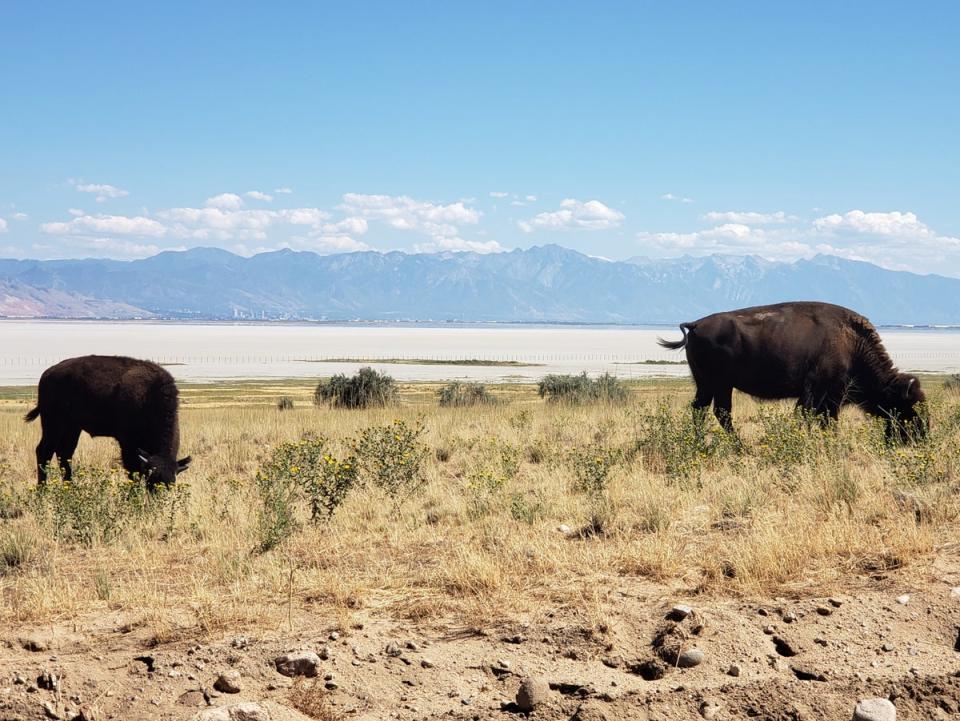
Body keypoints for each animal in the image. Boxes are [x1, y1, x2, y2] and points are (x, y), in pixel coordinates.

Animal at [25, 354, 191, 490]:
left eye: (172, 483)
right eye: (152, 477)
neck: (149, 396)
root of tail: (47, 374)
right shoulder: (127, 443)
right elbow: (133, 470)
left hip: (72, 428)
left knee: (65, 454)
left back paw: (69, 487)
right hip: (53, 425)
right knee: (44, 451)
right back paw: (42, 490)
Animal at [656, 300, 928, 442]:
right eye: (907, 408)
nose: (921, 437)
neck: (851, 342)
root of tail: (695, 325)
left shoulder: (822, 399)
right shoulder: (822, 395)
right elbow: (819, 420)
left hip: (708, 384)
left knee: (702, 410)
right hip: (720, 384)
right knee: (720, 413)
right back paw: (739, 446)